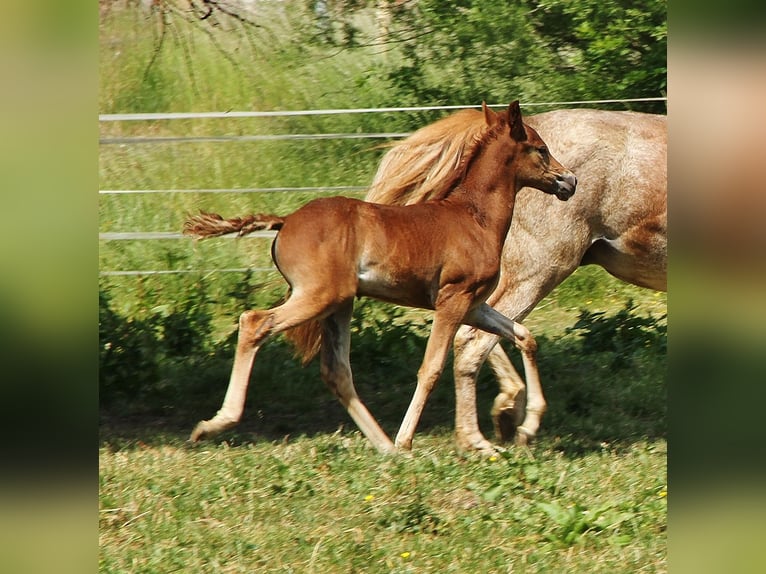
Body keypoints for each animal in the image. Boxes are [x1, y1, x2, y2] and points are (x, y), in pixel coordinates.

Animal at [183, 102, 572, 454]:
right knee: (254, 322)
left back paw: (383, 446)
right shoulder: (453, 299)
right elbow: (431, 368)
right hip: (317, 296)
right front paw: (408, 439)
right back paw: (215, 424)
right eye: (541, 149)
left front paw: (526, 425)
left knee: (337, 371)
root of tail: (285, 221)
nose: (569, 181)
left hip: (339, 305)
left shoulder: (474, 304)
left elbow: (524, 336)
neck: (473, 218)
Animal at [366, 106, 664, 452]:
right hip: (538, 270)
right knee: (472, 340)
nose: (570, 181)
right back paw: (483, 434)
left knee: (481, 332)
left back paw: (506, 414)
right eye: (542, 151)